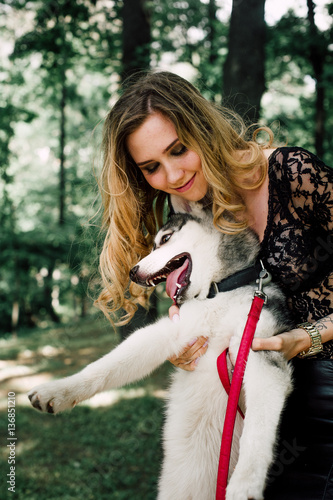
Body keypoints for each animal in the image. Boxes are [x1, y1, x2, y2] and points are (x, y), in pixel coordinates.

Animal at [29, 199, 294, 500]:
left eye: (165, 239)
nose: (132, 272)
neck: (220, 293)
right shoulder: (170, 333)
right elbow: (104, 367)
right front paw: (58, 392)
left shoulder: (259, 350)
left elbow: (258, 427)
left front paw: (245, 482)